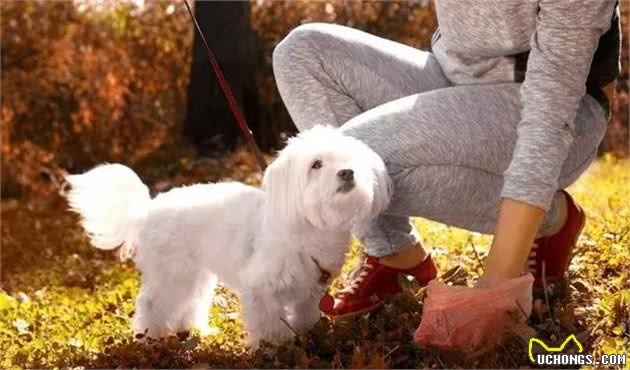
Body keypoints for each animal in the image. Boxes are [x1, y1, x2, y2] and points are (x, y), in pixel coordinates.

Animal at [64, 126, 390, 346]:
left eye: (351, 160)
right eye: (316, 164)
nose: (347, 172)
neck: (305, 228)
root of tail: (148, 208)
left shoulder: (310, 291)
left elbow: (306, 315)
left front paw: (306, 334)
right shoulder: (260, 288)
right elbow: (268, 323)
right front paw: (276, 346)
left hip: (195, 275)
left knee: (190, 302)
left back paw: (194, 330)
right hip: (171, 274)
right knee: (152, 304)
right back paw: (150, 337)